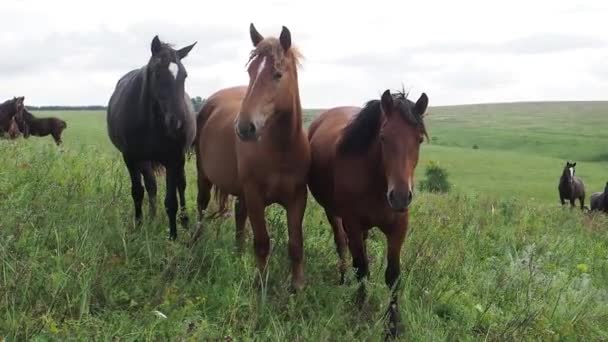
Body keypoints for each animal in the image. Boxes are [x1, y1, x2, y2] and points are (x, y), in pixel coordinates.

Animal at [107, 34, 197, 238]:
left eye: (184, 75)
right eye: (157, 73)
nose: (177, 122)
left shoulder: (173, 158)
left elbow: (171, 200)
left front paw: (173, 236)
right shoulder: (131, 158)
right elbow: (138, 192)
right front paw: (139, 225)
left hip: (178, 160)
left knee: (181, 185)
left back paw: (184, 220)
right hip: (145, 161)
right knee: (151, 185)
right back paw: (151, 218)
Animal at [194, 24, 308, 292]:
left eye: (277, 74)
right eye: (250, 71)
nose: (245, 128)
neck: (282, 150)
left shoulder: (298, 197)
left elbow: (295, 243)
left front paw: (297, 285)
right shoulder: (255, 195)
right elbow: (262, 242)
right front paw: (261, 283)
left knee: (238, 215)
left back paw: (238, 255)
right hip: (204, 176)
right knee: (202, 206)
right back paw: (197, 244)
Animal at [308, 89, 428, 336]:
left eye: (419, 139)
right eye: (383, 137)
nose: (400, 196)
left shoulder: (398, 228)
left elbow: (393, 276)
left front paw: (392, 327)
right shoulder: (352, 223)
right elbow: (361, 268)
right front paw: (359, 314)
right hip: (333, 213)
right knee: (342, 246)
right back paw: (343, 280)